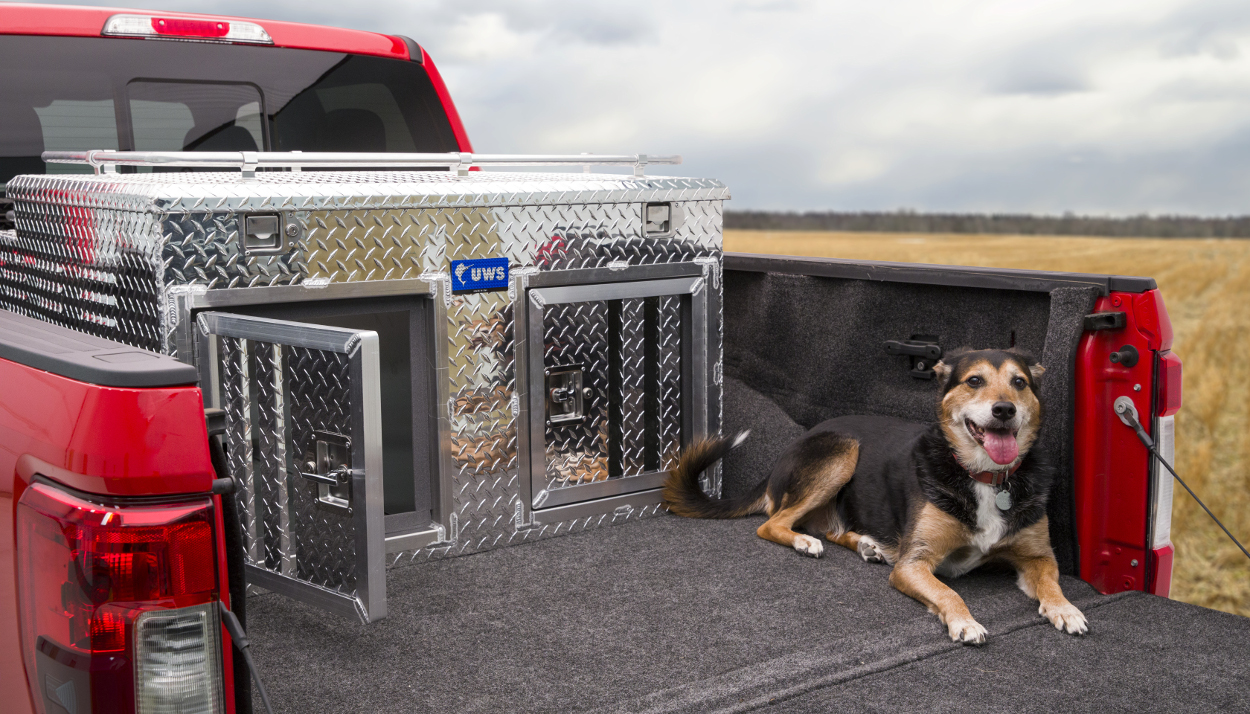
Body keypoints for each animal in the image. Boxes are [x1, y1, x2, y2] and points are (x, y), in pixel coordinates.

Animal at [665, 350, 1085, 645]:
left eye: (1020, 382)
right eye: (975, 380)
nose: (1004, 409)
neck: (984, 476)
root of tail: (780, 459)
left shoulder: (1038, 557)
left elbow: (1052, 583)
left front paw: (1065, 609)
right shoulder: (914, 564)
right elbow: (948, 593)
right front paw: (965, 622)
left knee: (831, 528)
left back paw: (867, 545)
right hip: (843, 449)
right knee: (772, 524)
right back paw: (804, 542)